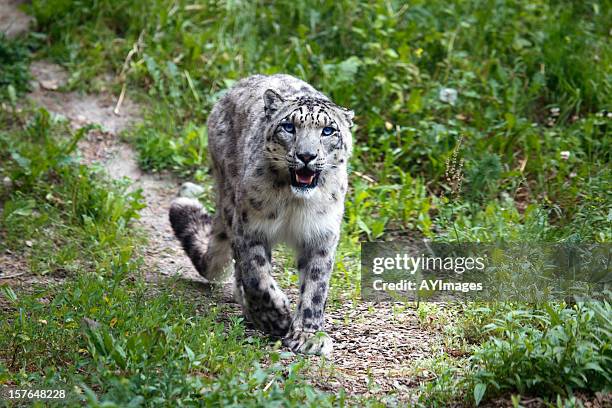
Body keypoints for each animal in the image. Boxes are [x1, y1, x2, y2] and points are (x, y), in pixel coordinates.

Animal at [170, 75, 354, 356]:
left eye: (328, 131)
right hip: (230, 202)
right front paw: (276, 318)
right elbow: (257, 276)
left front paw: (308, 335)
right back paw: (253, 313)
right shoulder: (250, 228)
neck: (294, 204)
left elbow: (315, 286)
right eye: (288, 127)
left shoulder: (321, 235)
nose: (306, 155)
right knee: (239, 271)